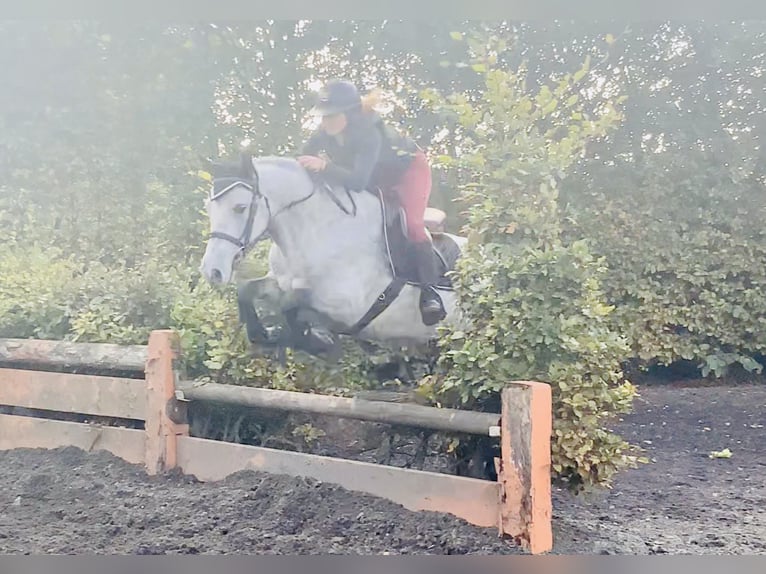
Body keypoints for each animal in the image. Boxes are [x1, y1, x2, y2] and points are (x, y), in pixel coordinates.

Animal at [198, 152, 467, 359]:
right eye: (208, 207)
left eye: (240, 207)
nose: (212, 271)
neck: (315, 232)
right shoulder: (280, 281)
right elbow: (246, 290)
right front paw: (264, 334)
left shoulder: (348, 308)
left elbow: (292, 305)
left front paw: (313, 340)